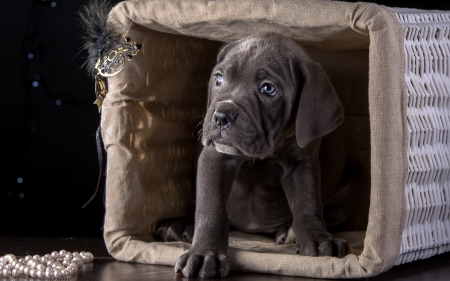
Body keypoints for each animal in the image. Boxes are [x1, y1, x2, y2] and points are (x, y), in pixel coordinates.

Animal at [174, 32, 354, 278]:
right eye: (219, 79)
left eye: (268, 89)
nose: (221, 116)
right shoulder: (215, 156)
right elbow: (210, 209)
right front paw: (203, 254)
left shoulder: (302, 163)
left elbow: (307, 202)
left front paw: (318, 239)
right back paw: (180, 226)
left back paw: (289, 231)